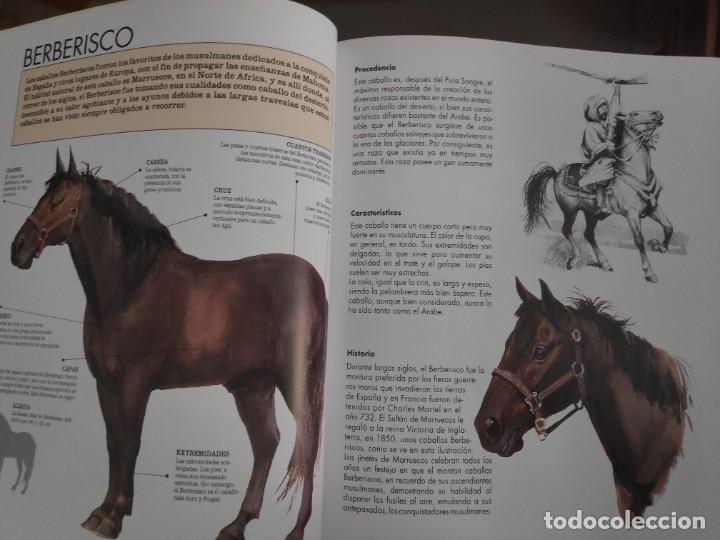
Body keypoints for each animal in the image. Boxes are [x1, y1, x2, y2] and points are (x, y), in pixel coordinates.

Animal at [10, 151, 328, 540]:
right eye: (43, 196)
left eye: (59, 200)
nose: (18, 248)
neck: (132, 287)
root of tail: (314, 280)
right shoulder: (106, 385)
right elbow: (114, 442)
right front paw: (103, 511)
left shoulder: (135, 384)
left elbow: (130, 443)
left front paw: (114, 516)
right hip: (252, 385)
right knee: (266, 442)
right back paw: (236, 524)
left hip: (291, 382)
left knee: (308, 443)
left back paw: (296, 530)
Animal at [523, 109, 673, 283]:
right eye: (634, 114)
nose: (658, 113)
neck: (636, 173)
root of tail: (557, 173)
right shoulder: (632, 214)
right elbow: (639, 240)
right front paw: (649, 272)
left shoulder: (652, 207)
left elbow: (668, 227)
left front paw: (660, 246)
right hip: (570, 211)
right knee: (566, 230)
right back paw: (575, 259)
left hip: (591, 213)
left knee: (588, 234)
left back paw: (605, 263)